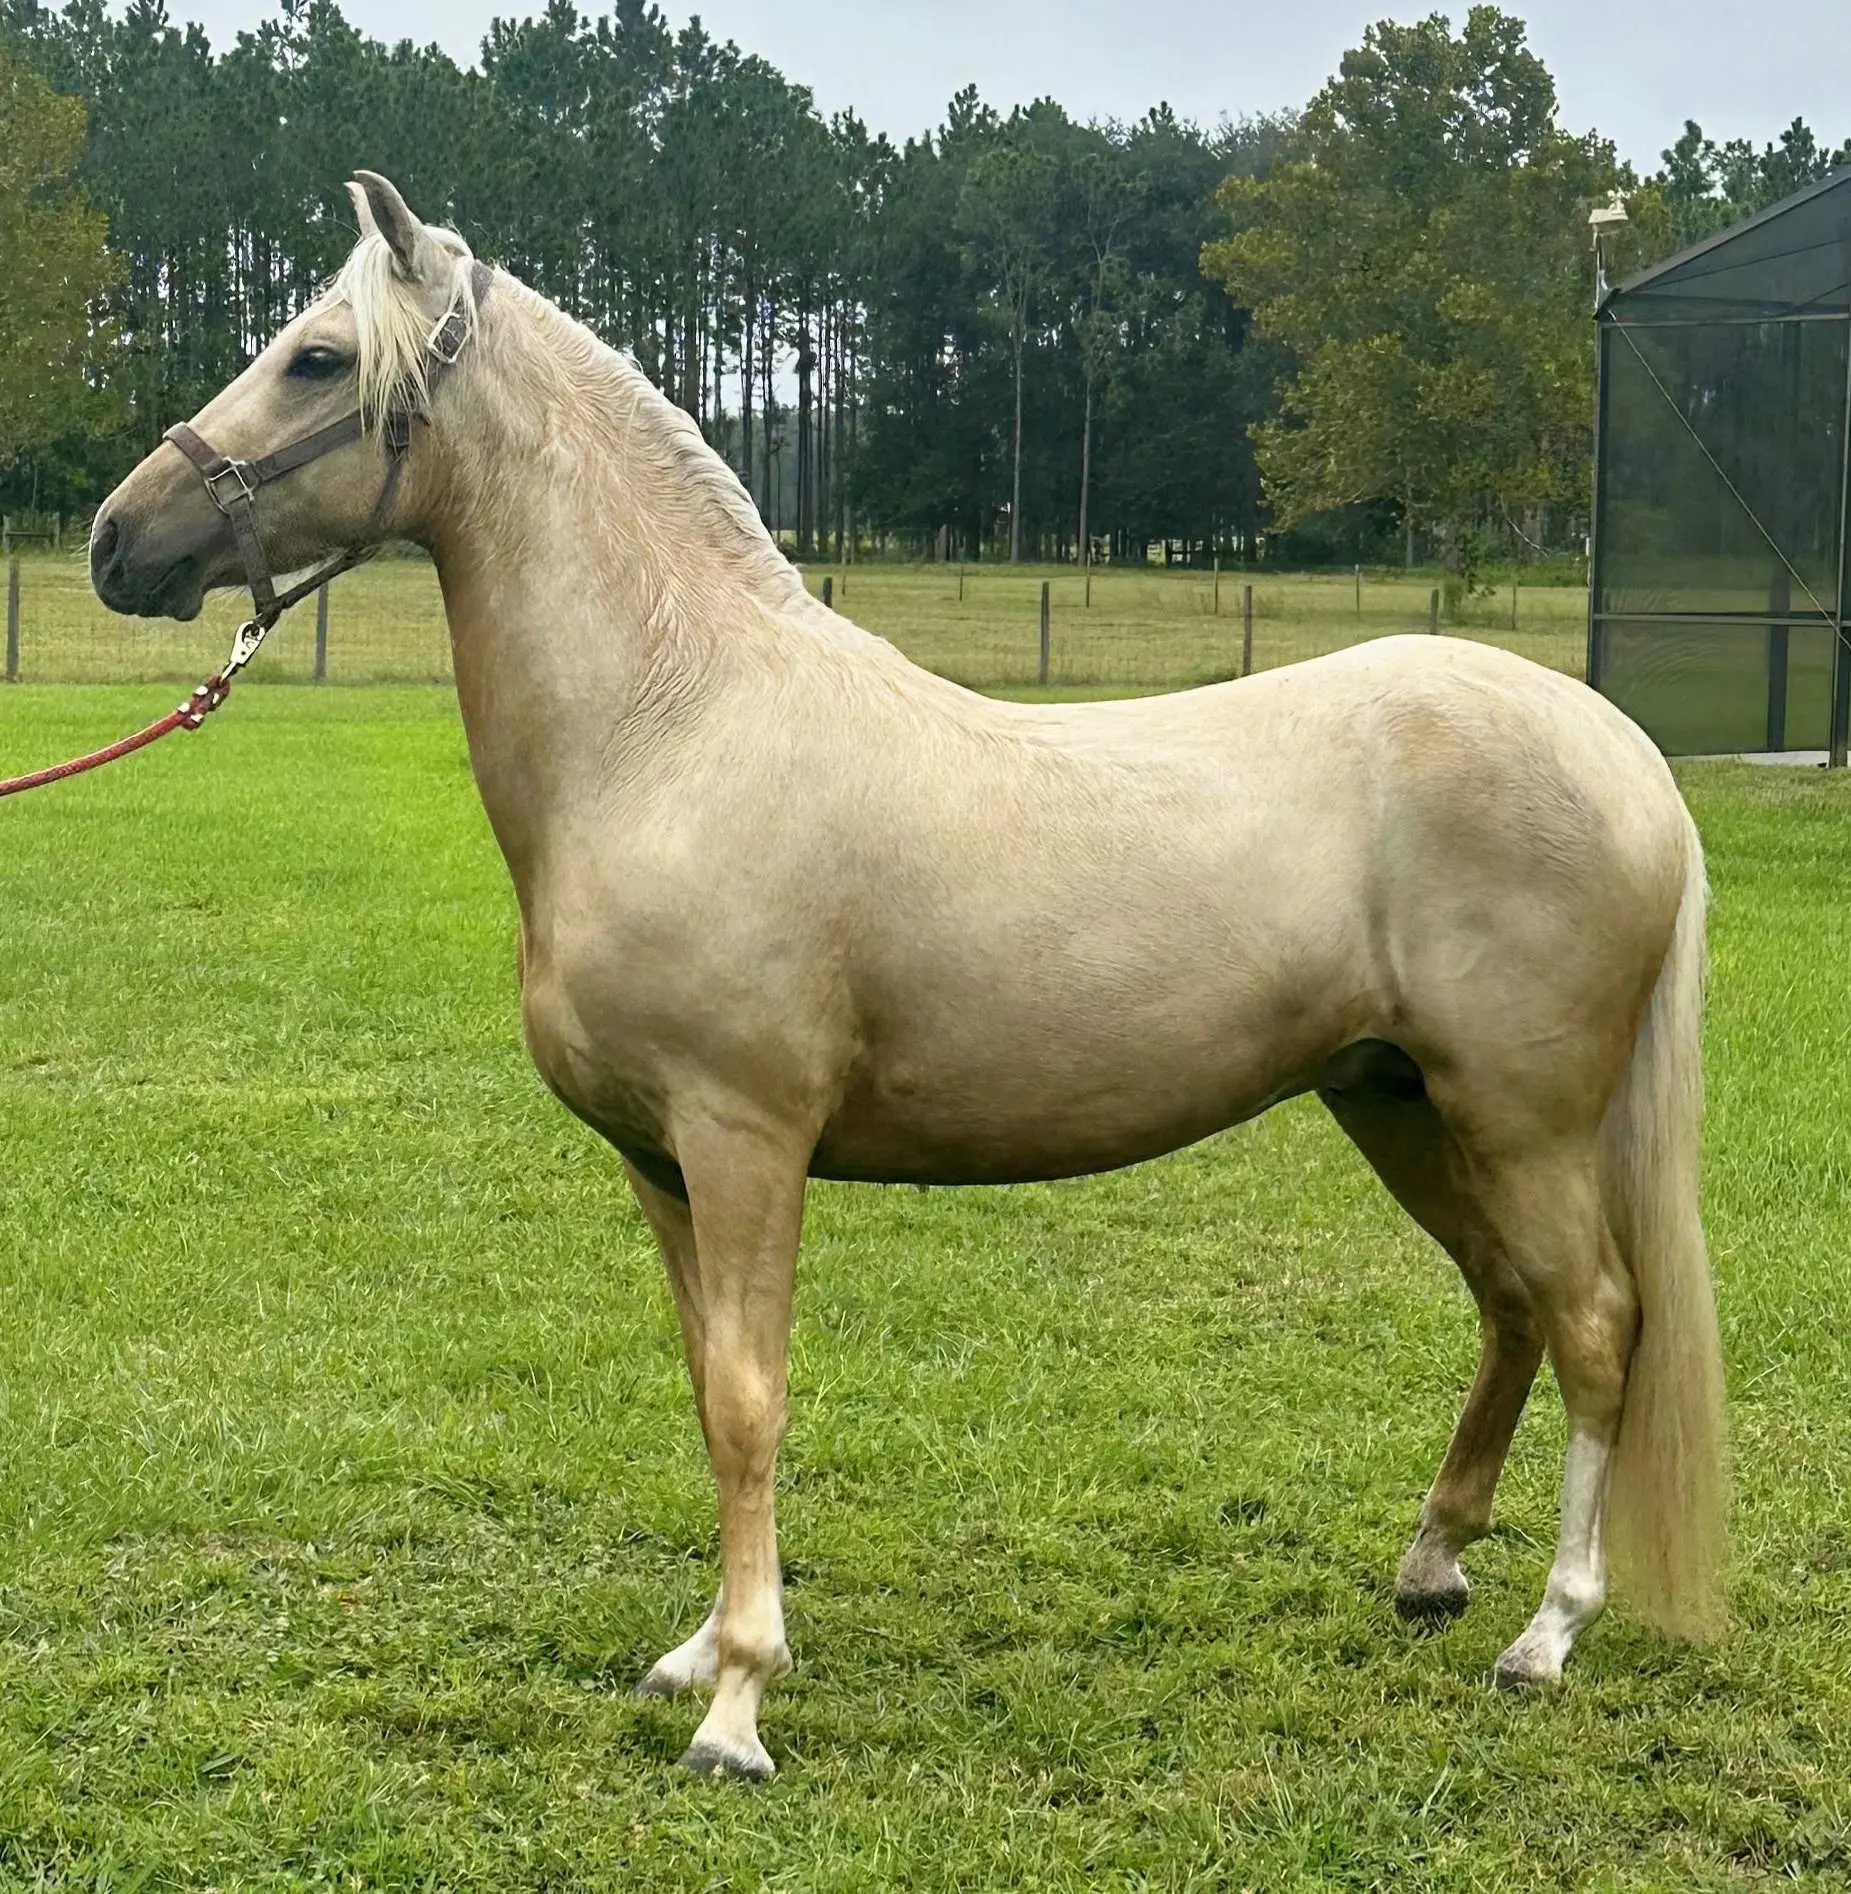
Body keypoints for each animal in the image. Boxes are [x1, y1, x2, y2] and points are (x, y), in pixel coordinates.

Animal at [89, 172, 1726, 1782]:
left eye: (316, 357)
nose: (118, 537)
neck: (675, 724)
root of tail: (1624, 752)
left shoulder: (744, 1140)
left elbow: (750, 1400)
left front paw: (737, 1705)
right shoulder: (658, 1161)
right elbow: (707, 1384)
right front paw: (697, 1651)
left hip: (1519, 1120)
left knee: (1594, 1322)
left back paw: (1546, 1631)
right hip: (1394, 1102)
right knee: (1510, 1306)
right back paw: (1431, 1565)